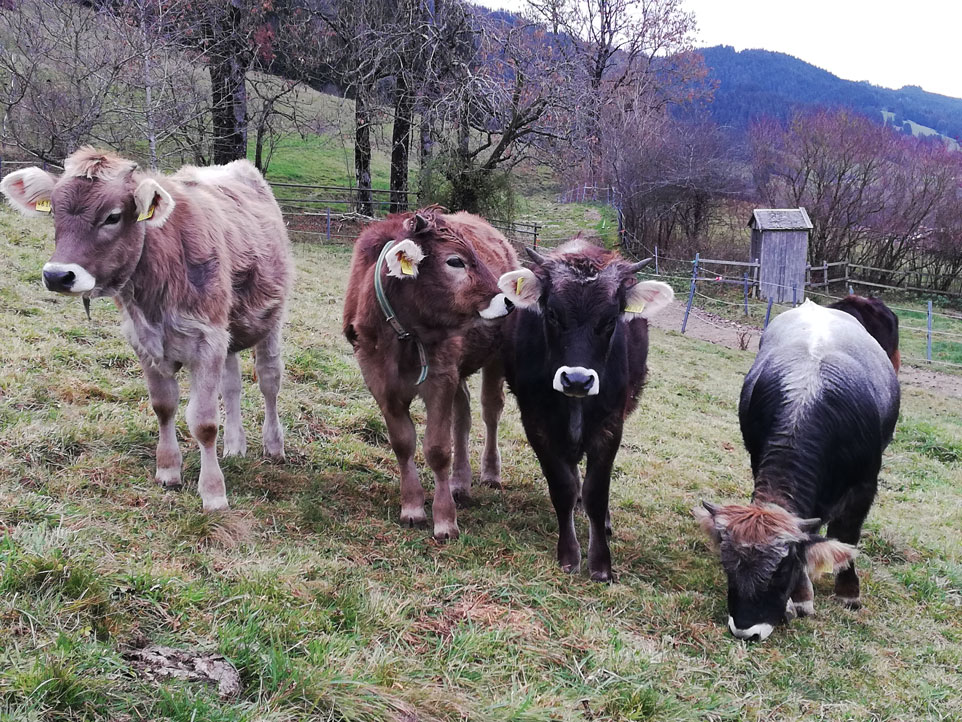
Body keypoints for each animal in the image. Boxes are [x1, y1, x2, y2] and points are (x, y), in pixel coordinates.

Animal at [1, 146, 290, 510]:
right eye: (53, 211)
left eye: (112, 216)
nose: (57, 276)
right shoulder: (145, 341)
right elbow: (164, 407)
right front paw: (167, 470)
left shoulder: (207, 341)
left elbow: (204, 422)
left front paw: (213, 494)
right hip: (229, 330)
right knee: (232, 385)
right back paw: (235, 445)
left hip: (270, 320)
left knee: (269, 382)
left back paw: (274, 446)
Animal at [342, 205, 512, 536]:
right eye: (455, 261)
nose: (507, 301)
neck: (404, 335)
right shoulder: (381, 384)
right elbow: (403, 443)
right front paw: (412, 506)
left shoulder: (440, 380)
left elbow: (437, 449)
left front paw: (445, 519)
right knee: (463, 416)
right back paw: (460, 482)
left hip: (495, 359)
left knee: (490, 412)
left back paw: (490, 472)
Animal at [498, 240, 672, 580]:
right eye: (552, 314)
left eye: (610, 320)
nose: (577, 379)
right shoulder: (536, 423)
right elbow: (562, 487)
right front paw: (569, 553)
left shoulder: (611, 425)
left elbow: (596, 493)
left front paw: (601, 562)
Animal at [692, 300, 896, 640]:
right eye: (727, 566)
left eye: (780, 570)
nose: (746, 631)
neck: (806, 398)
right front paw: (800, 597)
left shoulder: (864, 487)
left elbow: (847, 536)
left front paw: (848, 591)